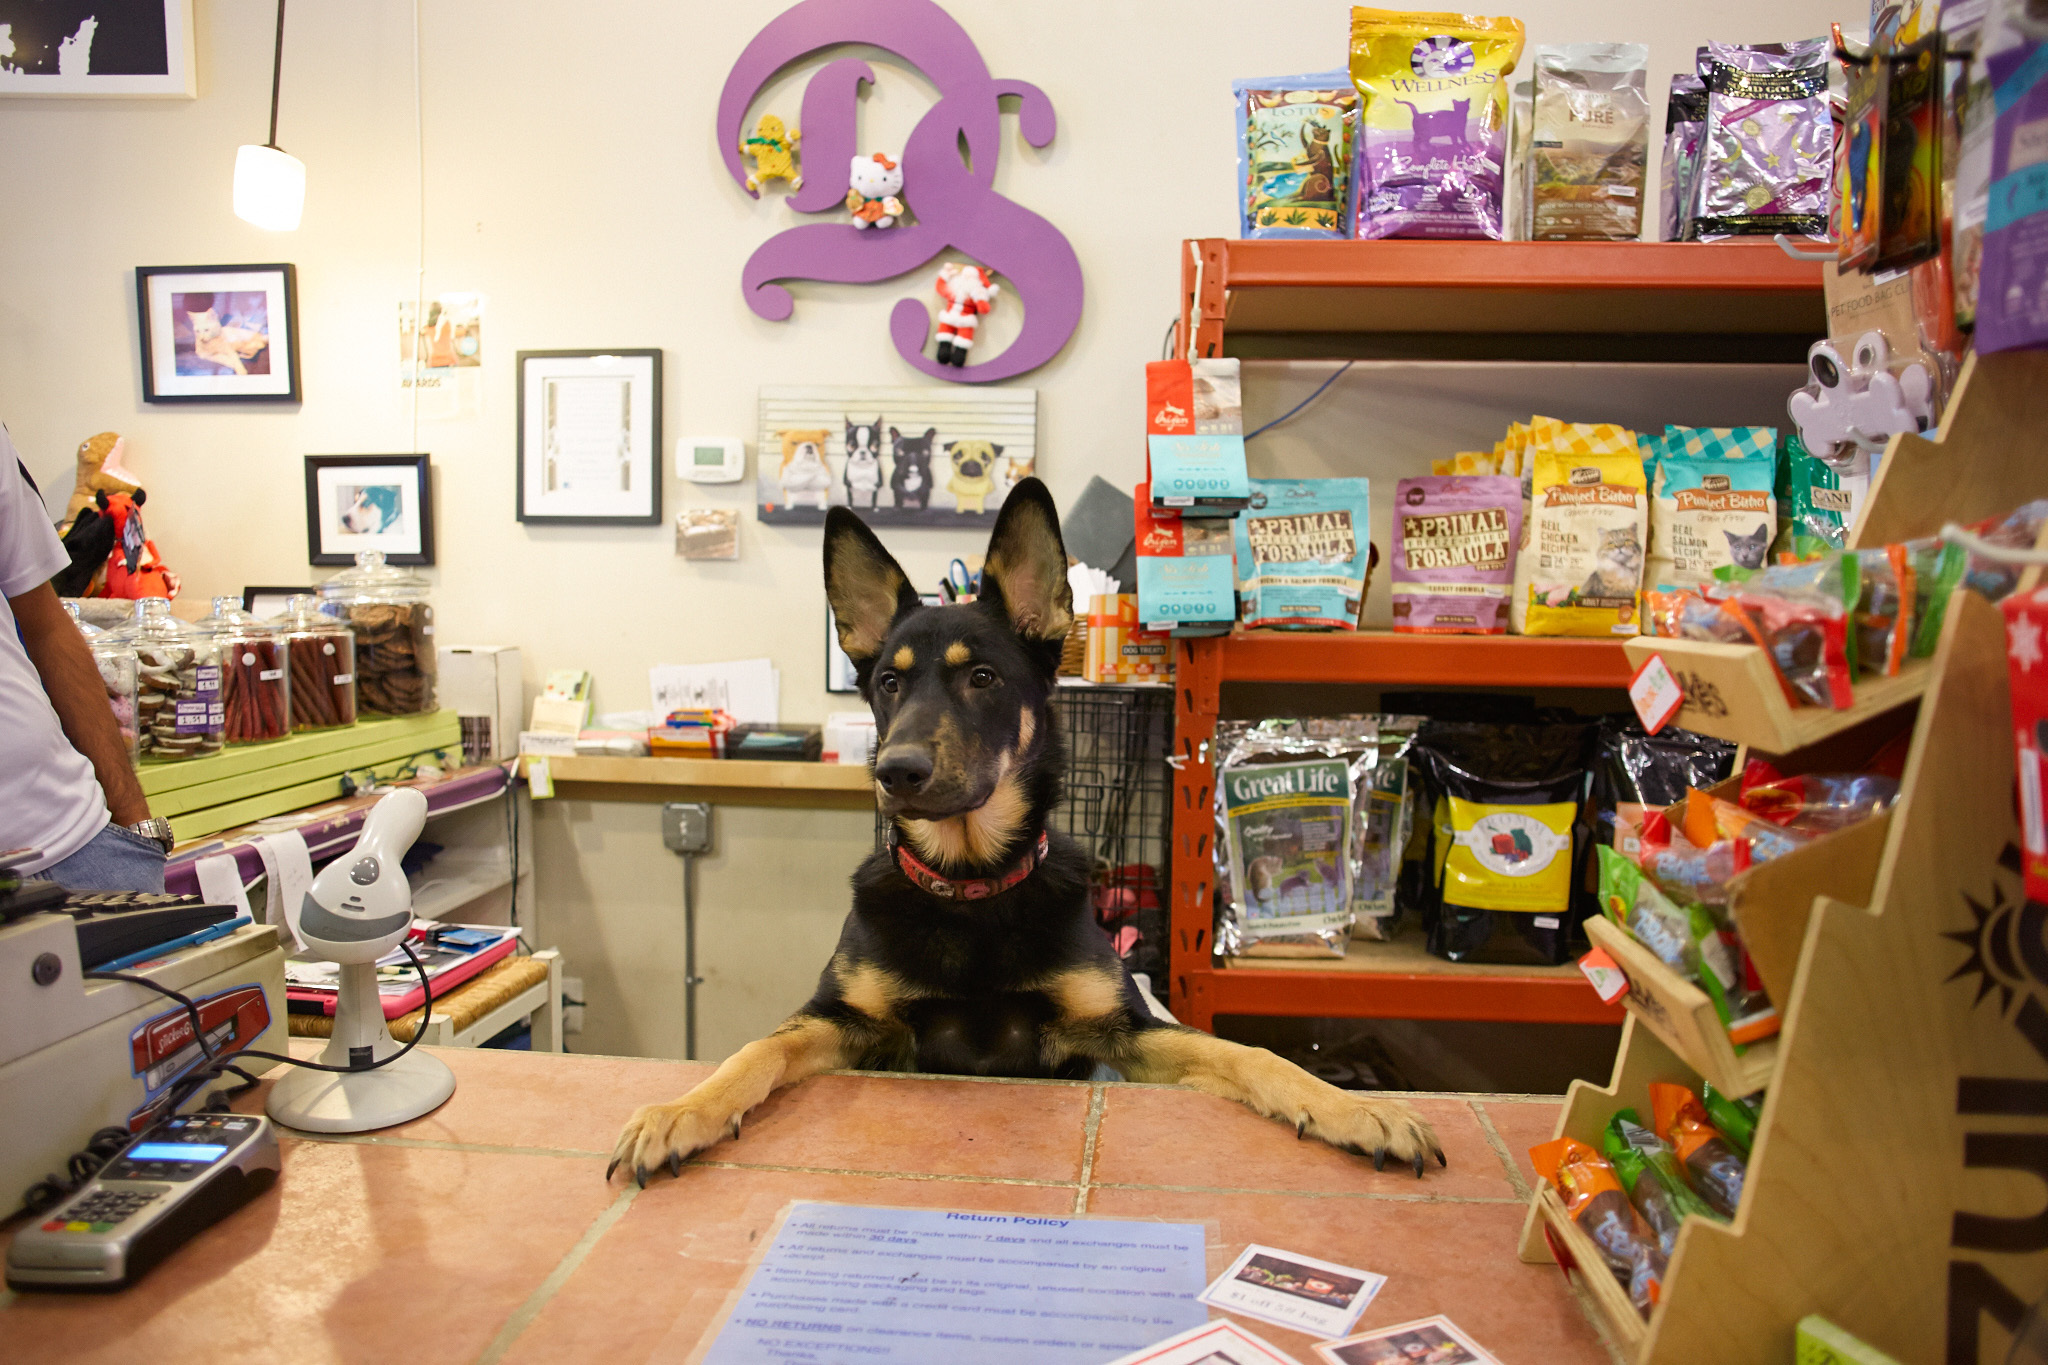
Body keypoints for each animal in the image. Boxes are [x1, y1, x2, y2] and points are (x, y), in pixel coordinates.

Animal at [606, 480, 1441, 1186]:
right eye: (888, 683)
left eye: (982, 677)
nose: (895, 771)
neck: (972, 884)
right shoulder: (844, 1021)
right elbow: (756, 1048)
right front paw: (682, 1110)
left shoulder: (1119, 1030)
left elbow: (1249, 1052)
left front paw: (1355, 1108)